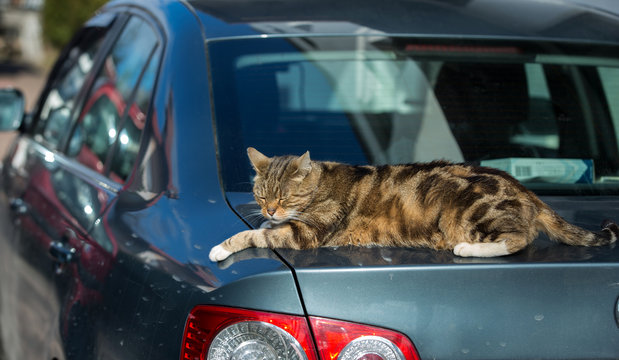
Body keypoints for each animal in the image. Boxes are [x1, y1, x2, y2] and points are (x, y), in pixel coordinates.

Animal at [209, 147, 619, 262]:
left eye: (284, 196)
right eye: (262, 196)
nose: (270, 210)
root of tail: (527, 191)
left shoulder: (304, 234)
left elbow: (251, 237)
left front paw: (221, 247)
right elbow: (263, 230)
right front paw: (262, 223)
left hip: (468, 212)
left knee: (519, 239)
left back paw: (468, 248)